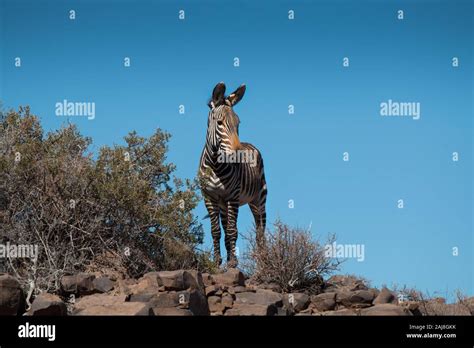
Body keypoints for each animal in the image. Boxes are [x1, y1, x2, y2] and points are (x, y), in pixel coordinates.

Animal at [198, 83, 268, 268]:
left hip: (259, 199)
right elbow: (216, 230)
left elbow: (232, 230)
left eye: (238, 123)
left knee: (260, 230)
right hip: (223, 203)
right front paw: (217, 261)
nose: (238, 154)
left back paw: (263, 262)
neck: (215, 165)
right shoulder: (210, 197)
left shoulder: (233, 196)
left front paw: (233, 262)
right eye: (220, 122)